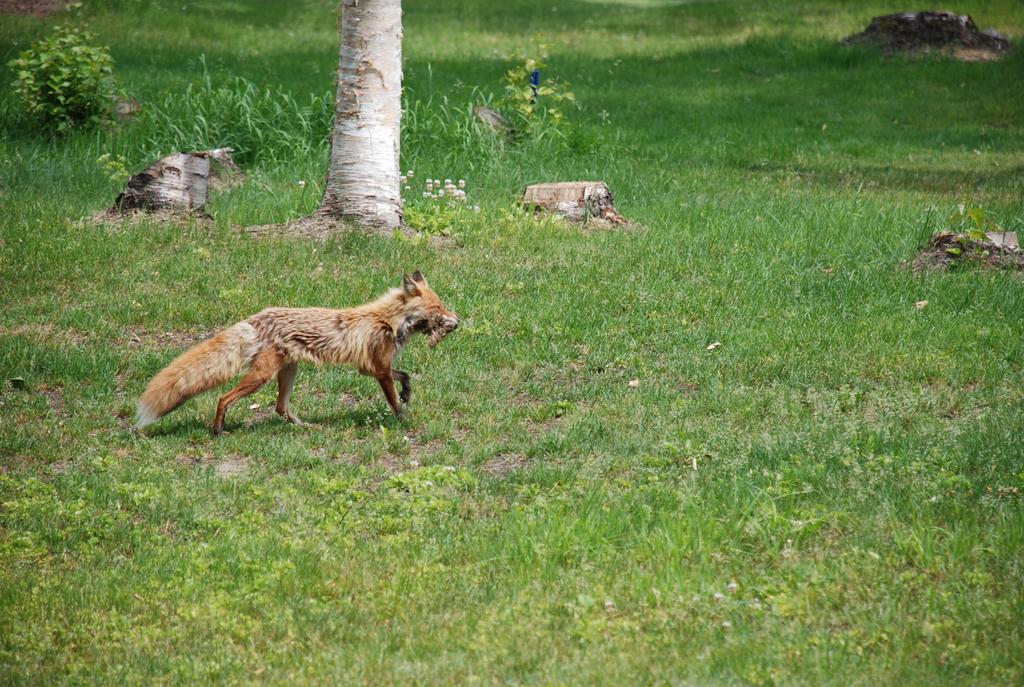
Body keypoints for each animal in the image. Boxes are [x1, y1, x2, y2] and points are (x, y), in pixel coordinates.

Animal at [136, 272, 460, 432]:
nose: (456, 318)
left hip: (288, 373)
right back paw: (218, 431)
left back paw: (305, 427)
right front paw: (403, 420)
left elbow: (405, 376)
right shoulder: (378, 368)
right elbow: (392, 399)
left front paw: (407, 393)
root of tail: (258, 317)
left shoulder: (370, 367)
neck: (388, 320)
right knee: (223, 398)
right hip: (261, 377)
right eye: (438, 307)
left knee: (280, 408)